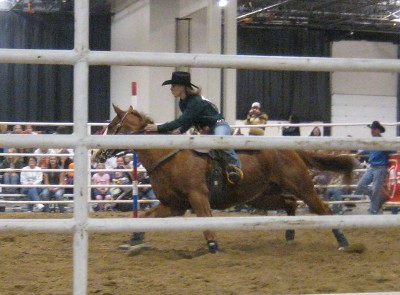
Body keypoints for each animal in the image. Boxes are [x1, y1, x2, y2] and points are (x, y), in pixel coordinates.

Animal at [99, 106, 356, 254]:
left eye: (112, 126)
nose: (98, 154)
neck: (169, 156)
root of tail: (291, 149)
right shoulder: (174, 205)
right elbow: (145, 217)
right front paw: (133, 241)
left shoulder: (198, 197)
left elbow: (206, 224)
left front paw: (213, 249)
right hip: (261, 196)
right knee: (290, 204)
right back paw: (289, 236)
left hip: (302, 186)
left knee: (324, 210)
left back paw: (344, 242)